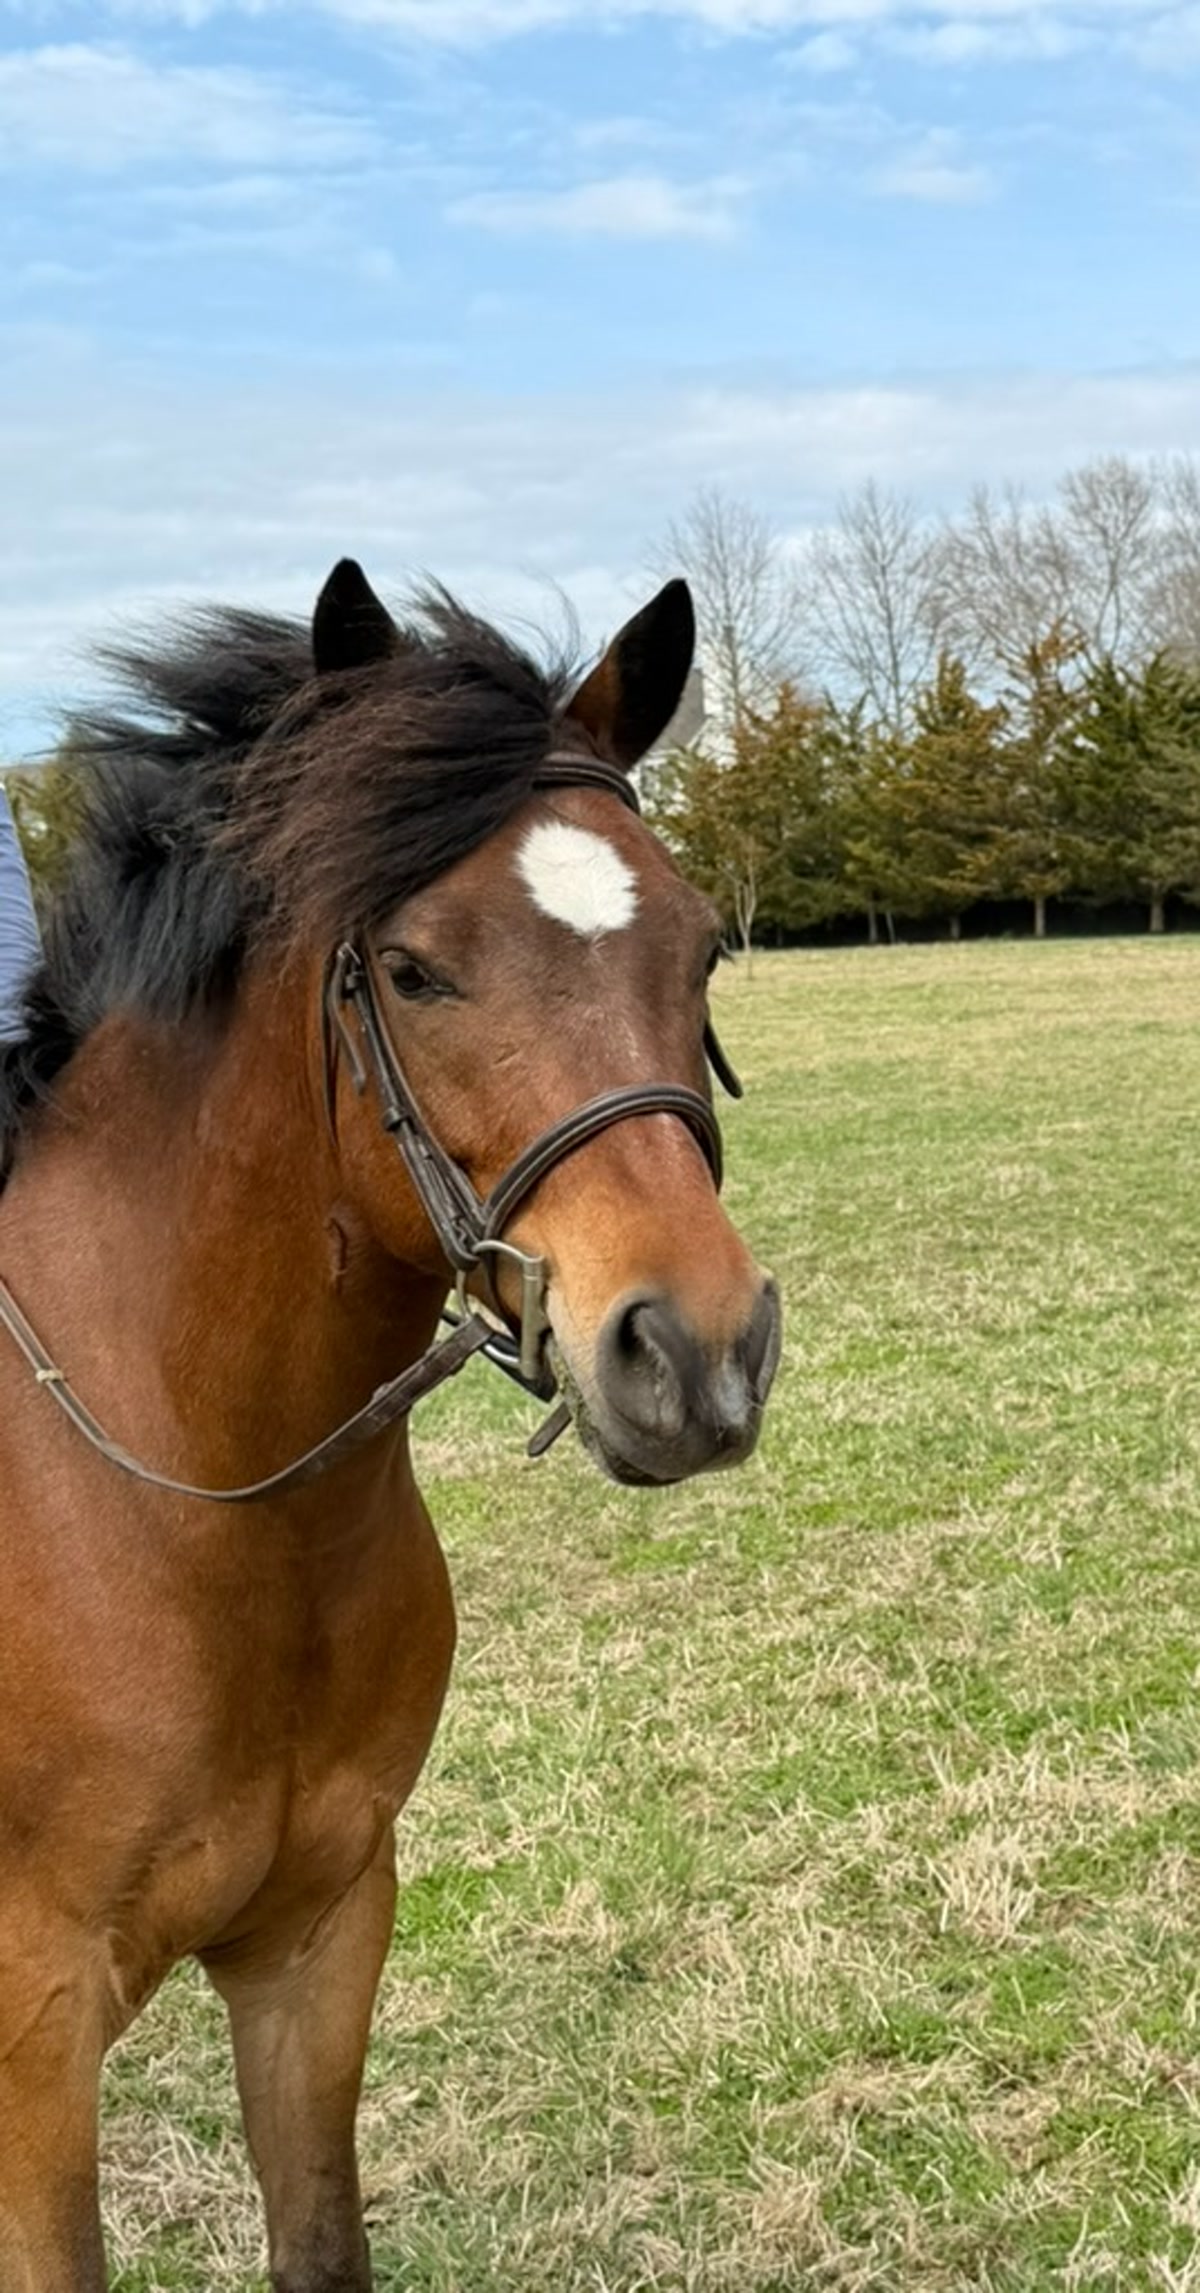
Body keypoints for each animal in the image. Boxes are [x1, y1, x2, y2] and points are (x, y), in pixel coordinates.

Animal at [0, 561, 781, 2292]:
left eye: (701, 950)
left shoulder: (319, 1938)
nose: (699, 1356)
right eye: (417, 968)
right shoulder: (33, 2025)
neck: (198, 1505)